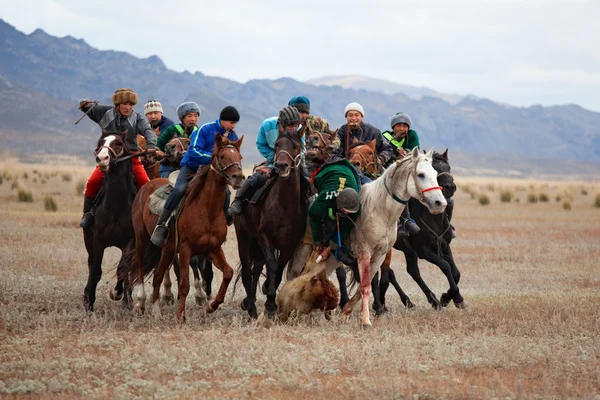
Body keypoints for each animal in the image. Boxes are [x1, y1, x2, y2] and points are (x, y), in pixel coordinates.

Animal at [83, 130, 137, 310]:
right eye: (100, 143)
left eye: (119, 143)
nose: (102, 158)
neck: (116, 205)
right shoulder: (98, 240)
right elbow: (96, 271)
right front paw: (89, 302)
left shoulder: (129, 242)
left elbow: (122, 269)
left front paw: (119, 293)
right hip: (88, 238)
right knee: (90, 263)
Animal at [123, 135, 245, 322]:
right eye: (223, 156)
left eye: (240, 157)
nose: (238, 177)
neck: (206, 209)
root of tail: (147, 185)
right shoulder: (186, 249)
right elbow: (184, 285)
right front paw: (181, 316)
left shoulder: (212, 248)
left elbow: (228, 273)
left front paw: (211, 306)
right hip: (142, 239)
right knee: (141, 267)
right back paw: (140, 303)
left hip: (167, 249)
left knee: (157, 276)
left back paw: (156, 310)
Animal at [233, 130, 312, 318]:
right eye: (277, 144)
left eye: (295, 146)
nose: (281, 166)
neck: (285, 205)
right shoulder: (264, 237)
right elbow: (273, 266)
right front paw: (269, 304)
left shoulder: (289, 245)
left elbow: (277, 270)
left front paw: (270, 298)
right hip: (244, 236)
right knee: (247, 271)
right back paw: (251, 307)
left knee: (256, 269)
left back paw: (250, 302)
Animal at [324, 148, 446, 326]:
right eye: (421, 175)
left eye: (435, 173)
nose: (440, 203)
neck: (379, 210)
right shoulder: (364, 253)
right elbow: (365, 285)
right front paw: (365, 321)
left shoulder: (381, 254)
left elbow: (367, 283)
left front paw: (347, 312)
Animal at [370, 150, 464, 312]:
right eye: (433, 169)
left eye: (449, 167)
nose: (450, 187)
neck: (433, 217)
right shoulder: (423, 250)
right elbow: (445, 266)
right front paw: (448, 298)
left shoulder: (445, 246)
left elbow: (456, 273)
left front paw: (452, 298)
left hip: (407, 250)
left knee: (410, 271)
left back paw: (423, 301)